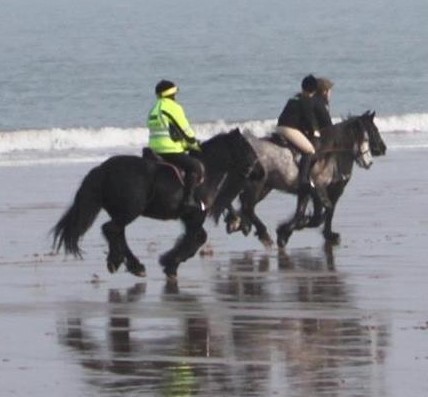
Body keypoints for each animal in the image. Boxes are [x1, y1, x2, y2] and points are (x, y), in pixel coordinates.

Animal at [51, 128, 258, 276]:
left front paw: (170, 261)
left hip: (122, 212)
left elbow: (195, 238)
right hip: (130, 210)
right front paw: (170, 263)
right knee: (111, 229)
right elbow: (199, 238)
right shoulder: (195, 215)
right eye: (247, 148)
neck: (207, 170)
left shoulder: (189, 218)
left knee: (116, 232)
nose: (257, 171)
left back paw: (124, 263)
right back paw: (129, 264)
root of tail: (103, 169)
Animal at [222, 111, 386, 246]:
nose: (382, 149)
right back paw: (259, 231)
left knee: (245, 204)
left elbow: (306, 213)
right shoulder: (319, 188)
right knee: (247, 206)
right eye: (373, 131)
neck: (330, 154)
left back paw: (240, 224)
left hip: (265, 187)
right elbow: (322, 213)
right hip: (257, 185)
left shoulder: (309, 191)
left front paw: (286, 232)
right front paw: (286, 231)